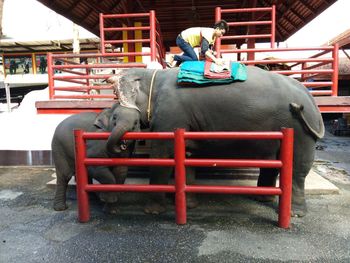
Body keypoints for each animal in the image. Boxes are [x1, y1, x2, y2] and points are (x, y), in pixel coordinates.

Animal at [107, 67, 326, 218]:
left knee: (298, 169)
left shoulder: (171, 115)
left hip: (299, 129)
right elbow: (186, 157)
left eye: (116, 95)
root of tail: (309, 96)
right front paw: (188, 205)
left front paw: (152, 211)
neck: (154, 75)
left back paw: (295, 213)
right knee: (274, 162)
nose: (121, 146)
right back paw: (263, 198)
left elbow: (162, 156)